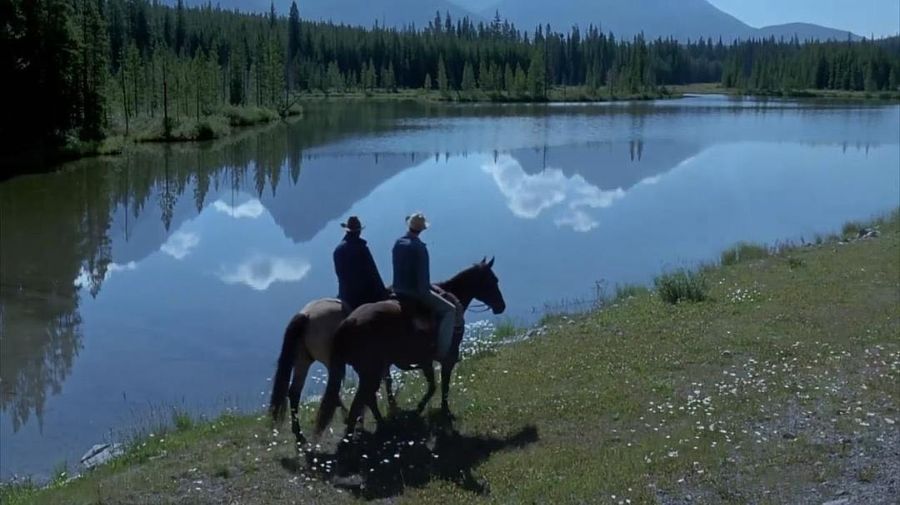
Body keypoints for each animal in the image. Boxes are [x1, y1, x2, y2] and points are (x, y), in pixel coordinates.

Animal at [314, 257, 506, 439]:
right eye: (493, 280)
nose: (501, 306)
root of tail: (349, 322)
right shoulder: (446, 358)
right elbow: (442, 386)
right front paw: (440, 411)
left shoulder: (426, 361)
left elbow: (433, 385)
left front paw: (421, 409)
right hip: (371, 373)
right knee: (360, 404)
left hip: (369, 373)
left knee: (368, 400)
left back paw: (382, 424)